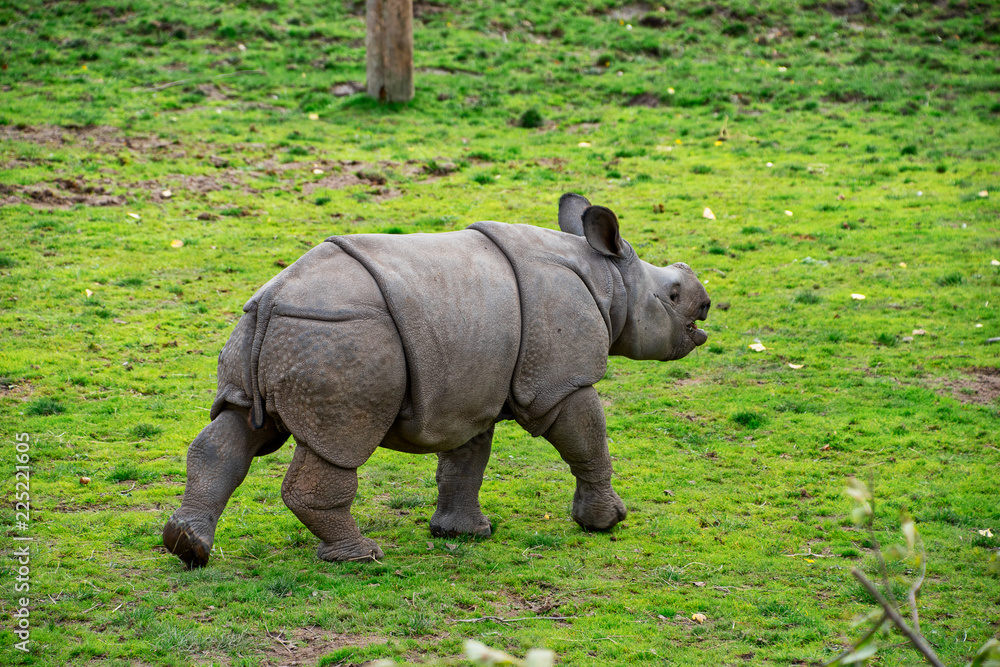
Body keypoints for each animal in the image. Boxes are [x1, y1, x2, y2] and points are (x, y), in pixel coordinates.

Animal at [162, 193, 710, 567]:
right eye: (674, 295)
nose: (707, 303)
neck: (610, 278)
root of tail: (273, 299)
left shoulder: (471, 387)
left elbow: (465, 461)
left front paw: (463, 534)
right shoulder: (560, 380)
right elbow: (588, 441)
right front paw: (606, 522)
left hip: (267, 330)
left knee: (234, 426)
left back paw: (187, 547)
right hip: (341, 336)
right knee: (340, 442)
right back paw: (361, 556)